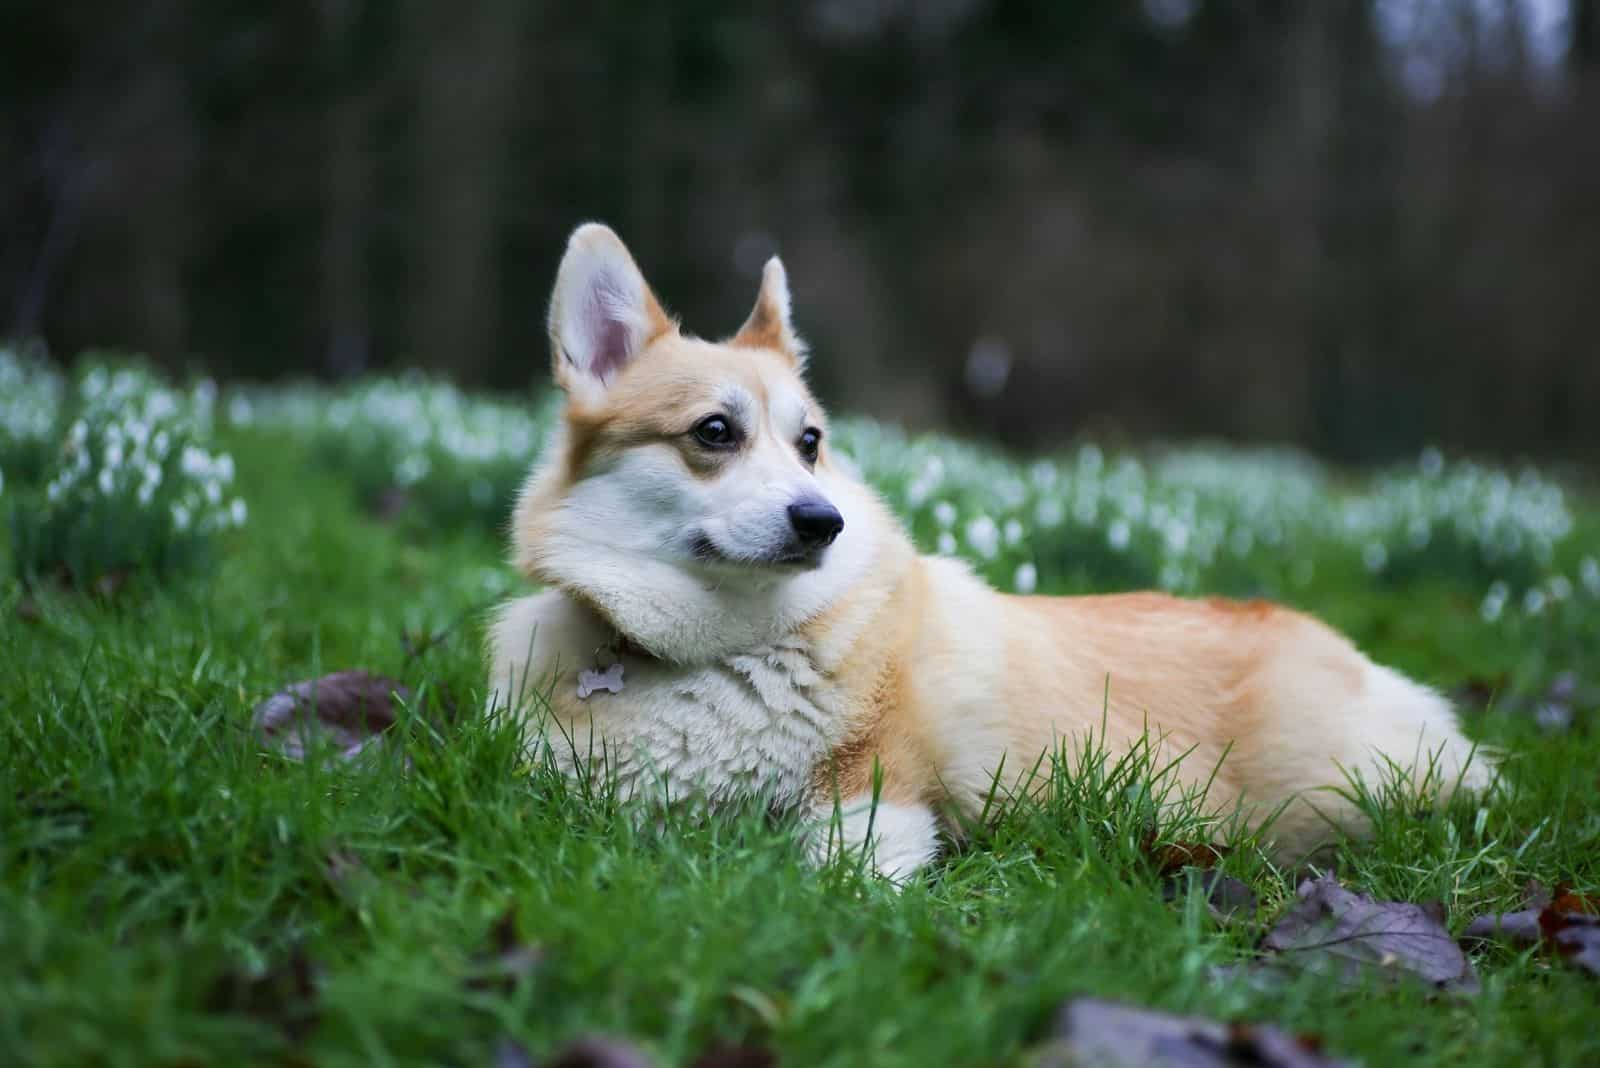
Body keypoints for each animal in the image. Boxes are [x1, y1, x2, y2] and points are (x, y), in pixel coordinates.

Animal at [483, 220, 1484, 882]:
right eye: (715, 432)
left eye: (811, 443)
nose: (823, 523)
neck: (713, 652)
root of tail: (1358, 660)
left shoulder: (874, 800)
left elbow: (828, 876)